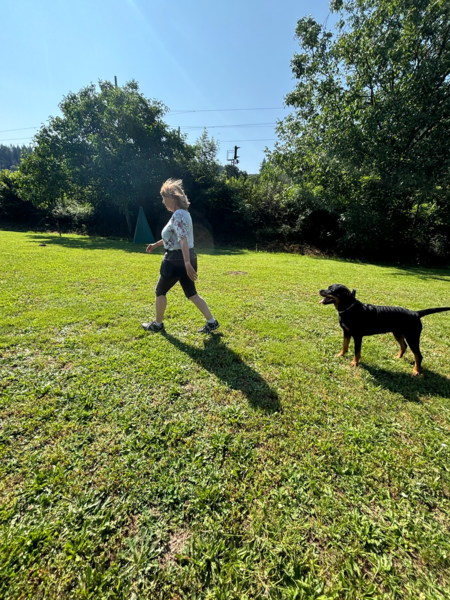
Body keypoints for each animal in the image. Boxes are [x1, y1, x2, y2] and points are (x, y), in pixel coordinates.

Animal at [319, 284, 450, 375]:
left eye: (331, 290)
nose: (320, 290)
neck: (348, 308)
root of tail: (416, 313)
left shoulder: (357, 336)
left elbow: (357, 351)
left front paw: (354, 363)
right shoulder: (346, 332)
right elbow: (344, 345)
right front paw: (340, 354)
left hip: (412, 337)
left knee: (418, 355)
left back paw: (416, 371)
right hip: (397, 333)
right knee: (404, 346)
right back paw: (398, 357)